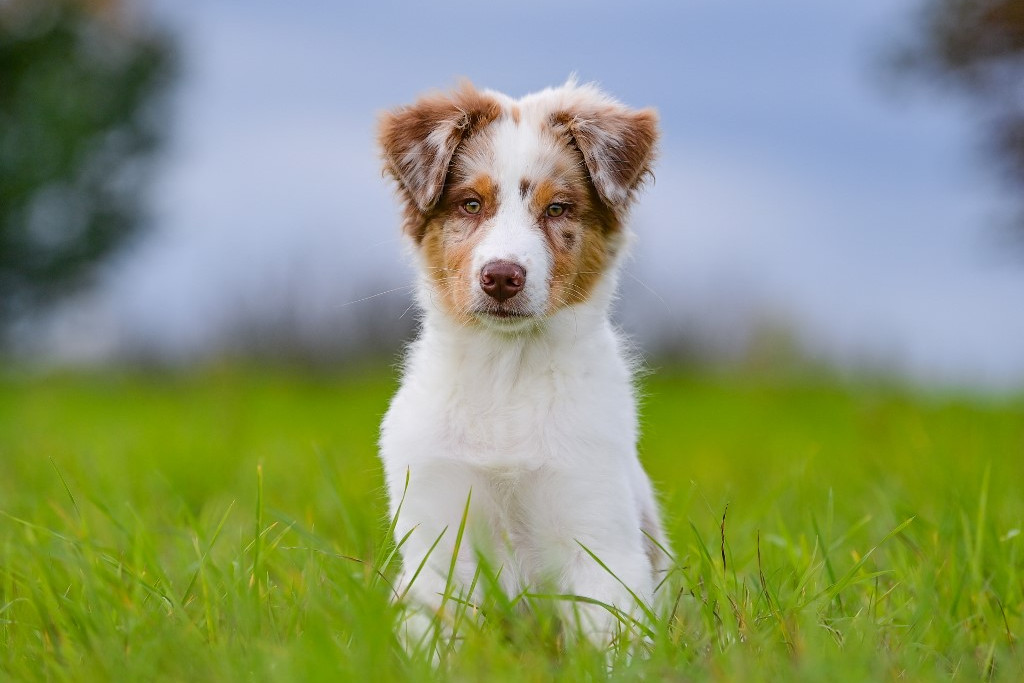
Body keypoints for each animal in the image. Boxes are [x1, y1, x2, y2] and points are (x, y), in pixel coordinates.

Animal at [376, 80, 663, 647]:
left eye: (557, 209)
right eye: (470, 204)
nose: (502, 278)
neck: (506, 373)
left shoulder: (600, 542)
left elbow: (607, 643)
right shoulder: (439, 544)